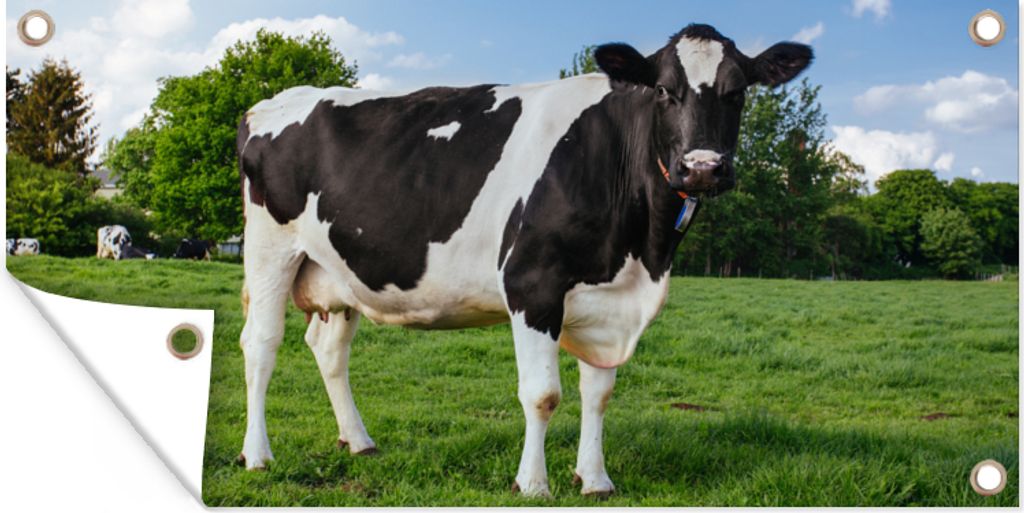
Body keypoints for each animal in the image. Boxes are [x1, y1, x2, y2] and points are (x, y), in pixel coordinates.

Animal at [236, 24, 812, 496]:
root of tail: (274, 101)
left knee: (329, 349)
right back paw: (258, 455)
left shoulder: (605, 299)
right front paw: (533, 484)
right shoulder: (532, 284)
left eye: (738, 92)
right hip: (270, 249)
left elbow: (599, 392)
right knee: (261, 343)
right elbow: (543, 394)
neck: (640, 253)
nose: (703, 168)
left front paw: (595, 478)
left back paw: (358, 440)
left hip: (340, 271)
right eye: (665, 90)